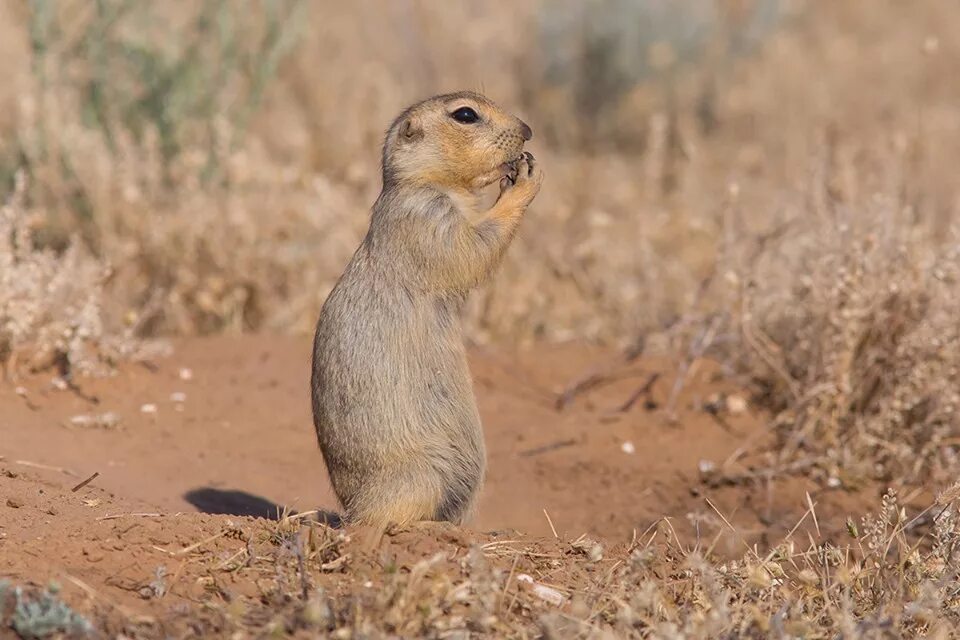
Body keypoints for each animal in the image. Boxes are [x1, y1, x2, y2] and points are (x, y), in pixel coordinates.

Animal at [312, 90, 544, 528]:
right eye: (466, 114)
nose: (528, 130)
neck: (429, 184)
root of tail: (352, 510)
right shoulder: (427, 218)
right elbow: (471, 248)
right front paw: (525, 178)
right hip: (421, 475)